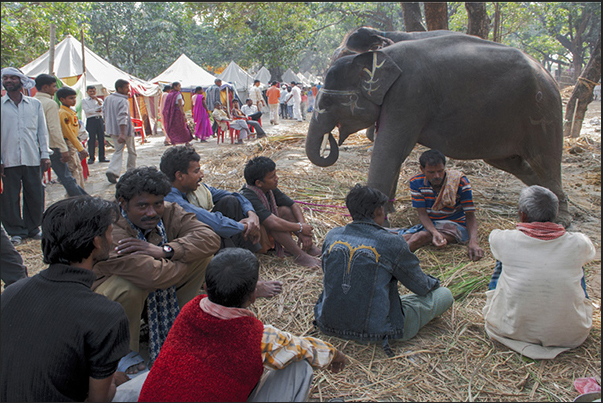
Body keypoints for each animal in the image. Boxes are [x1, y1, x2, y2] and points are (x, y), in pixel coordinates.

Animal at [306, 33, 572, 226]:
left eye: (327, 101)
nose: (331, 139)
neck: (381, 55)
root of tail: (548, 74)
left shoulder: (408, 95)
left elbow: (389, 150)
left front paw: (377, 219)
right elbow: (392, 153)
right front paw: (389, 209)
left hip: (542, 113)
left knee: (545, 159)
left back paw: (561, 217)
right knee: (514, 163)